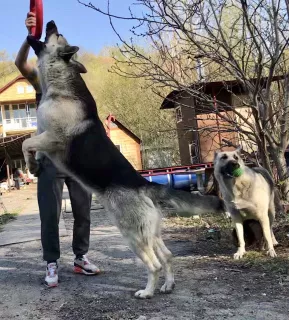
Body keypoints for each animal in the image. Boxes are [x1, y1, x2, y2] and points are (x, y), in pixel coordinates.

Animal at [22, 23, 225, 300]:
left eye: (55, 35)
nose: (50, 22)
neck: (61, 81)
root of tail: (143, 185)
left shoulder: (52, 138)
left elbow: (26, 143)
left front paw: (30, 162)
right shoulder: (43, 136)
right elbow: (31, 144)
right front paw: (33, 166)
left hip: (132, 235)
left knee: (155, 264)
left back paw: (147, 292)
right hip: (150, 233)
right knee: (167, 256)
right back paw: (167, 285)